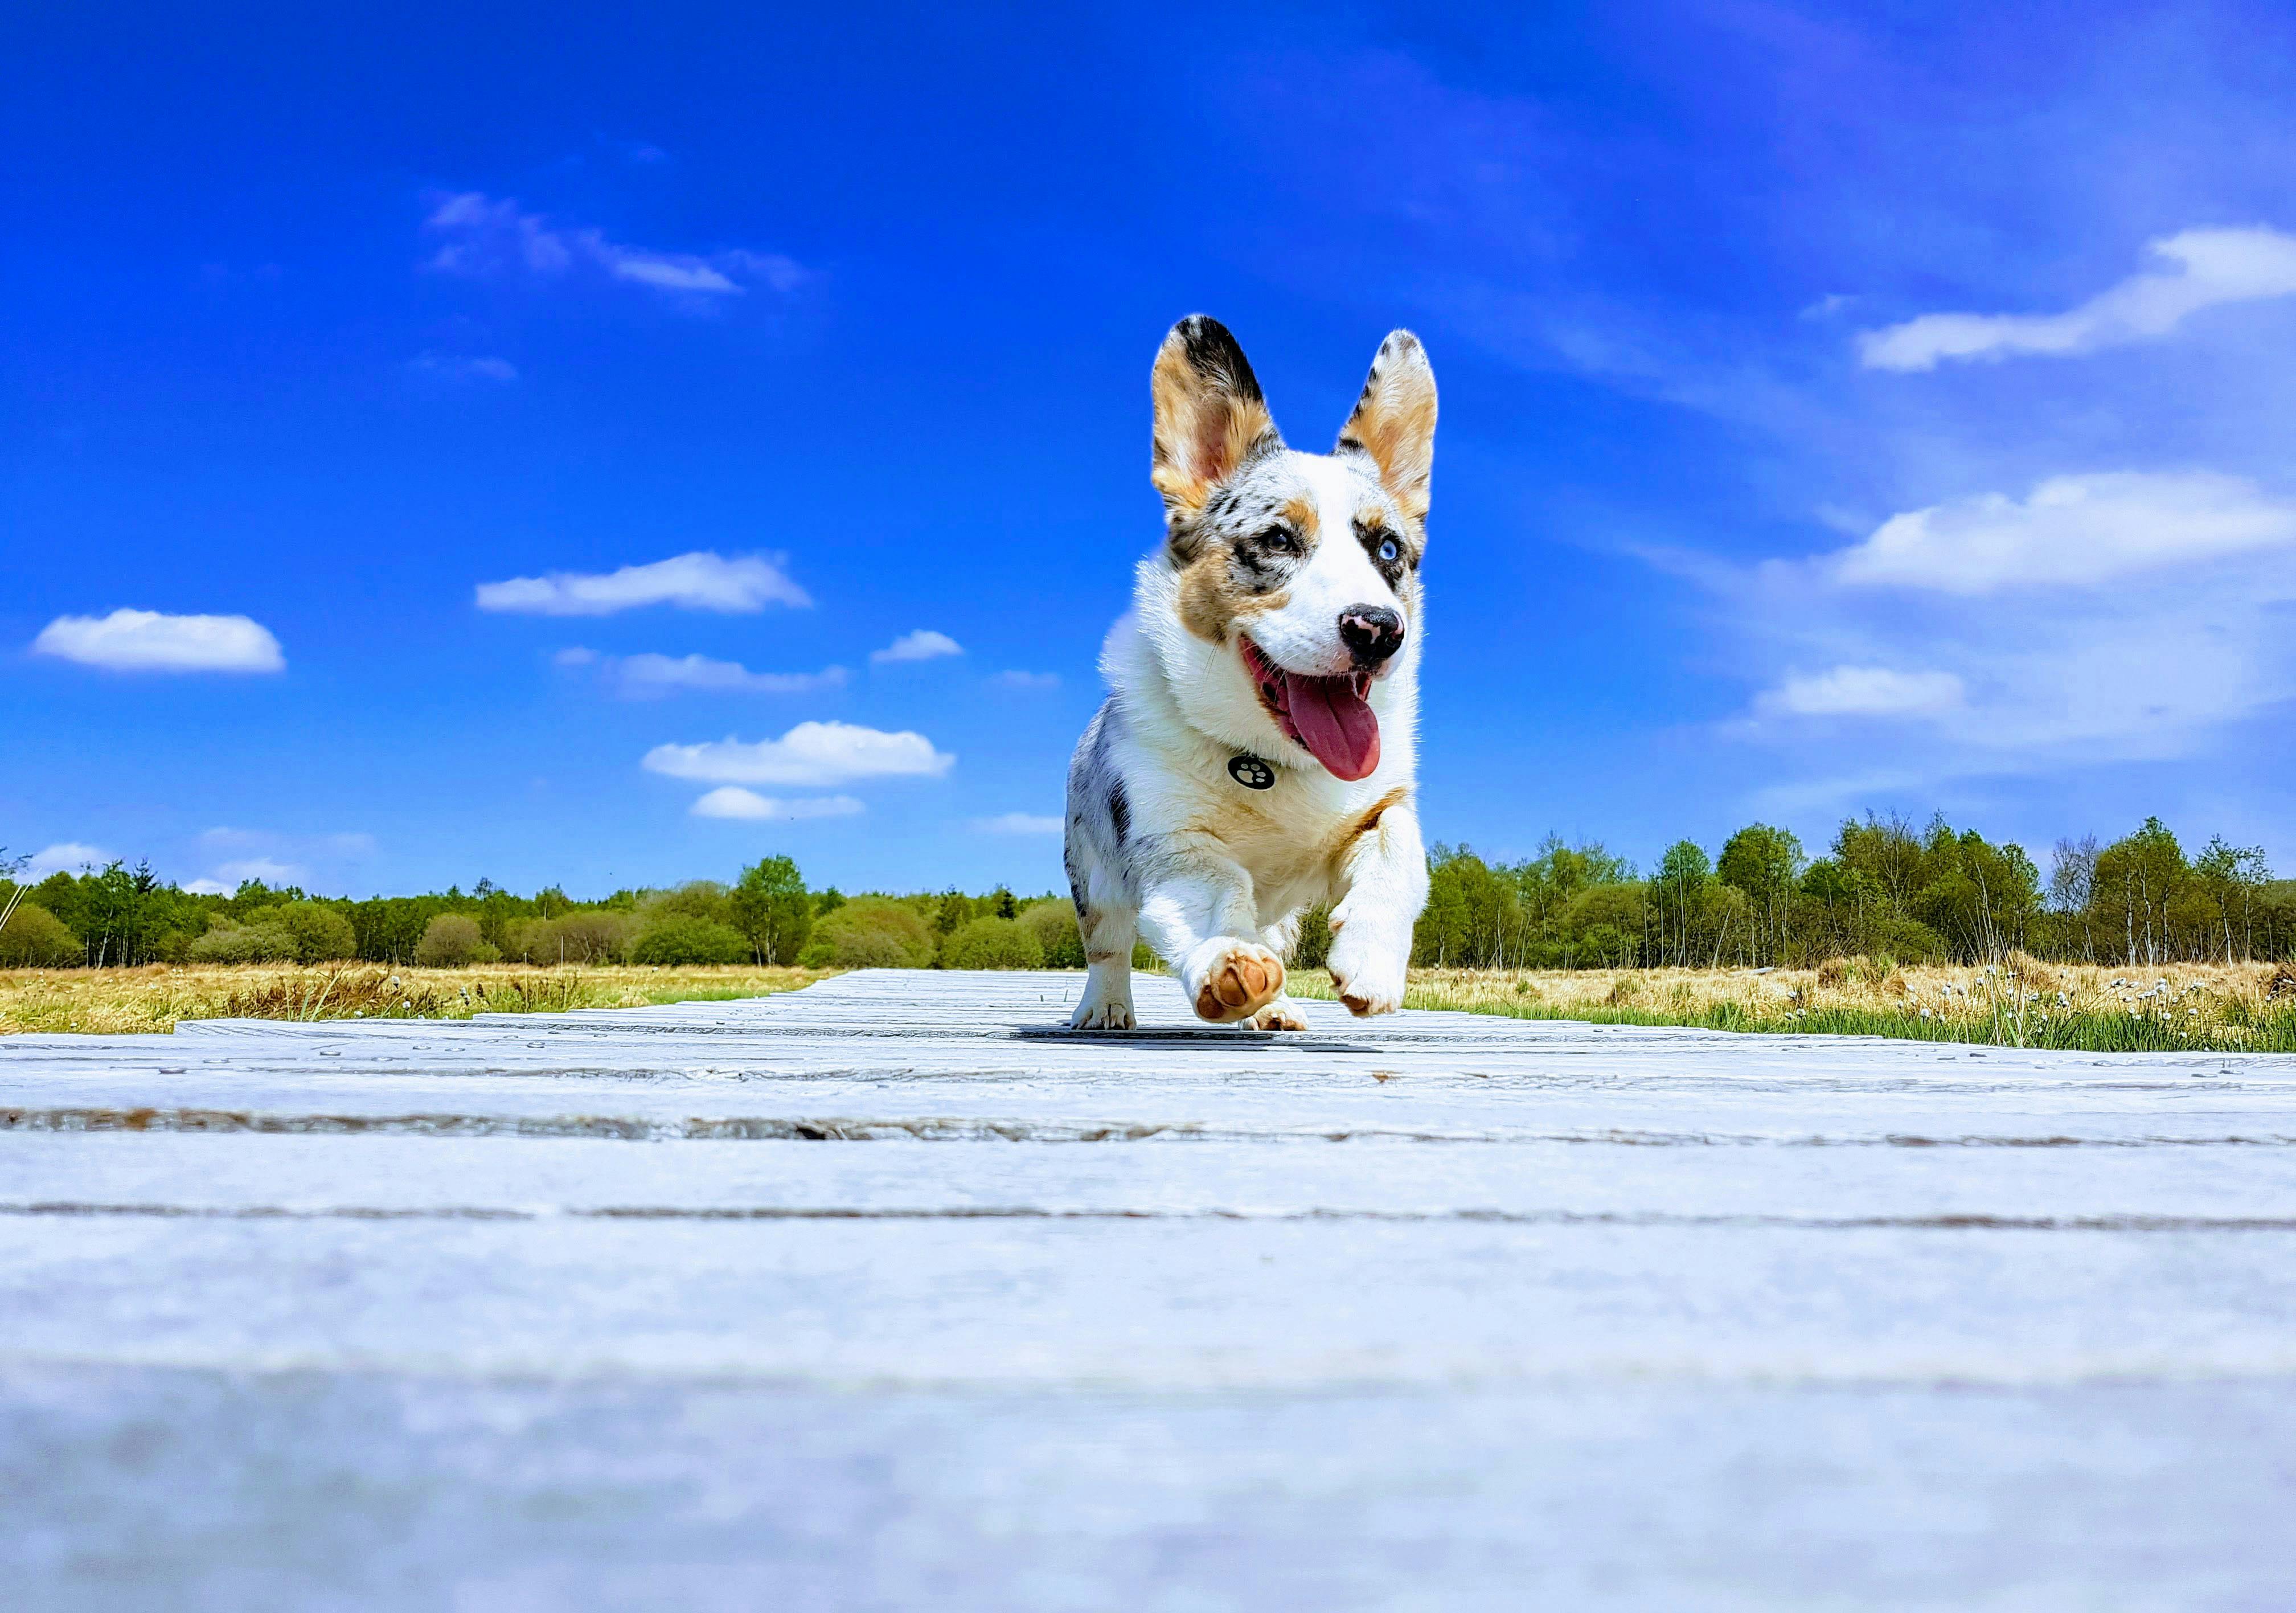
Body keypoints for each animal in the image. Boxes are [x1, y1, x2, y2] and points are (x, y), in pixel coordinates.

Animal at [1060, 317, 1432, 1038]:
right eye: (1279, 540)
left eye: (1388, 550)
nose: (1378, 630)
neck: (1273, 761)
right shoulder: (1172, 843)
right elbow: (1217, 891)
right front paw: (1228, 964)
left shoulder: (1381, 808)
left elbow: (1401, 852)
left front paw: (1370, 963)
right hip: (1094, 875)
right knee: (1108, 945)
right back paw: (1106, 1009)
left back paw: (1277, 1010)